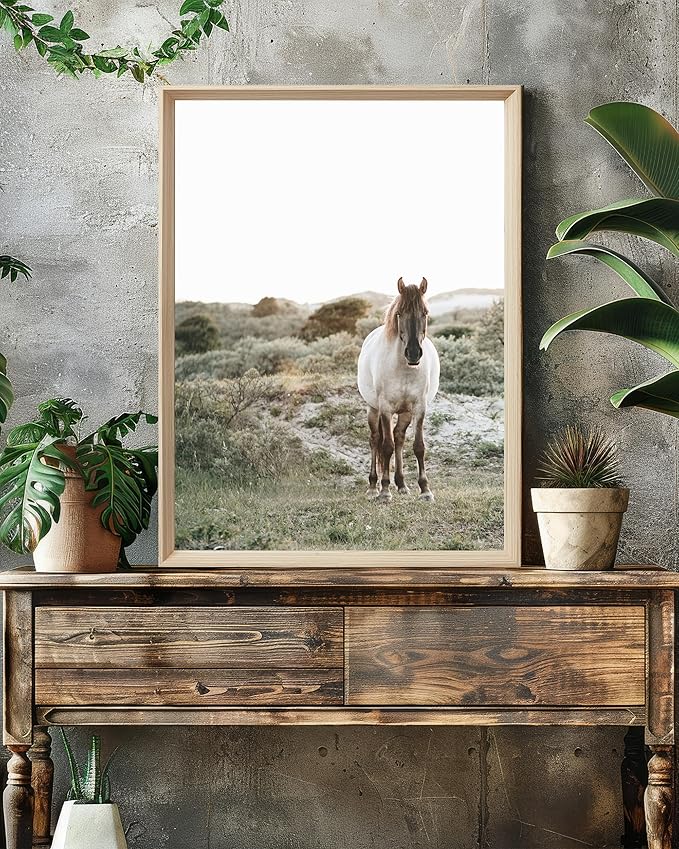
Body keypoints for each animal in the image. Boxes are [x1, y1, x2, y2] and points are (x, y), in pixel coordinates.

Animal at [357, 277, 440, 502]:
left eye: (425, 313)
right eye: (400, 313)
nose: (413, 353)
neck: (405, 369)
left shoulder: (419, 408)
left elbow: (418, 447)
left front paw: (425, 490)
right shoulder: (385, 408)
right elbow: (386, 447)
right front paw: (385, 492)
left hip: (405, 412)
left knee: (399, 438)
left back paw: (402, 484)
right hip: (373, 409)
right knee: (376, 439)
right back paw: (373, 486)